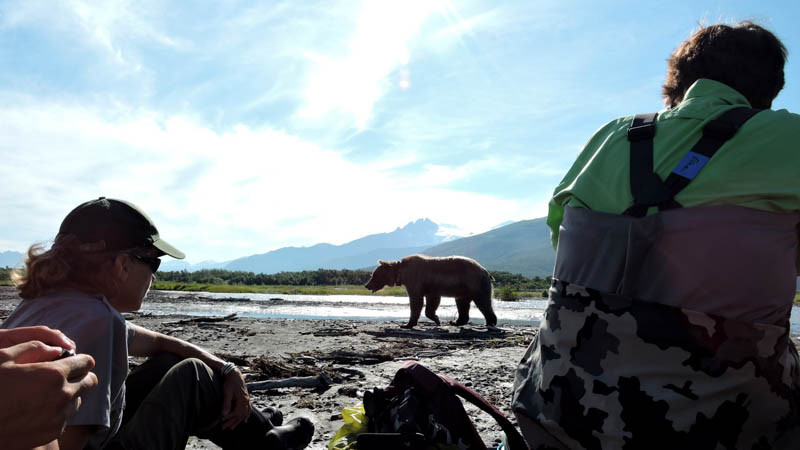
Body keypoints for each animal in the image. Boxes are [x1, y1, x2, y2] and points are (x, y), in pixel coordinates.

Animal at [366, 255, 496, 328]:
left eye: (374, 275)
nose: (367, 285)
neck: (400, 273)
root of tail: (485, 270)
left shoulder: (415, 279)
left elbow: (416, 301)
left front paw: (406, 324)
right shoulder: (431, 287)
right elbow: (431, 303)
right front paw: (437, 319)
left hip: (474, 282)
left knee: (483, 301)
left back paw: (490, 322)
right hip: (463, 289)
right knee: (462, 304)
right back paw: (455, 322)